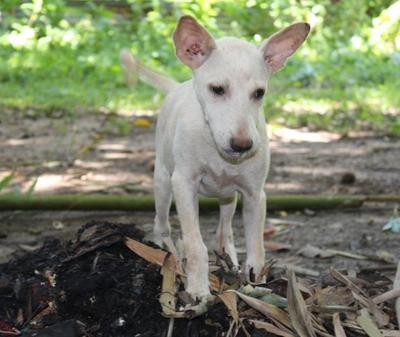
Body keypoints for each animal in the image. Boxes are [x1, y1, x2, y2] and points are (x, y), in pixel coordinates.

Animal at [121, 15, 310, 300]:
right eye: (217, 89)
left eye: (259, 93)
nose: (243, 145)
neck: (214, 145)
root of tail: (178, 87)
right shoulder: (184, 185)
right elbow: (194, 243)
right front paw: (198, 289)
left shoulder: (255, 195)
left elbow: (256, 247)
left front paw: (255, 284)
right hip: (163, 183)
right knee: (161, 223)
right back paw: (163, 252)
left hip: (228, 197)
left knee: (225, 231)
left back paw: (228, 259)